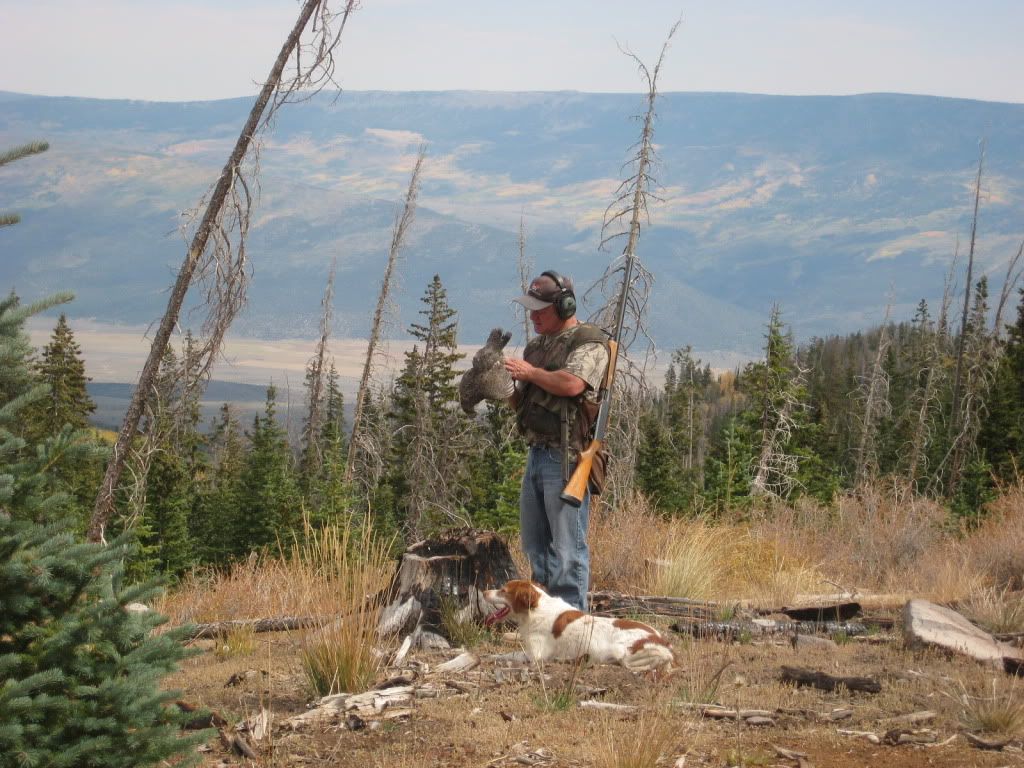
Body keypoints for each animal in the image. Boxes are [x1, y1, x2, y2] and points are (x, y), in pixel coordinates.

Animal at [483, 581, 675, 675]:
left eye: (503, 590)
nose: (484, 592)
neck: (535, 610)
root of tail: (664, 644)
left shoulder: (536, 656)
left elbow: (507, 655)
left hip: (622, 651)